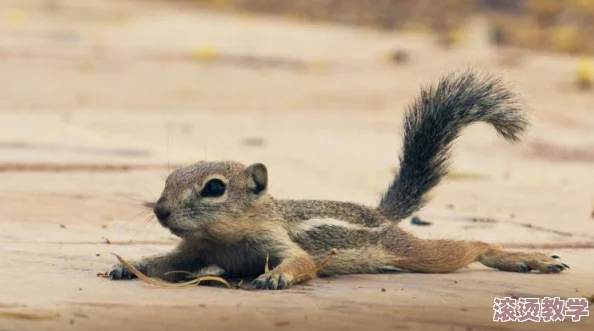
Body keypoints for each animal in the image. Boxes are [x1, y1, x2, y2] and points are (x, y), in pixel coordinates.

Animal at [107, 70, 568, 290]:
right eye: (168, 179)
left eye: (215, 188)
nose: (160, 210)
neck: (222, 241)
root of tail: (379, 215)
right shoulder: (193, 250)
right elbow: (163, 262)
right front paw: (130, 266)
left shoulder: (278, 242)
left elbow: (303, 261)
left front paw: (276, 277)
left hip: (412, 252)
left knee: (470, 246)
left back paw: (529, 258)